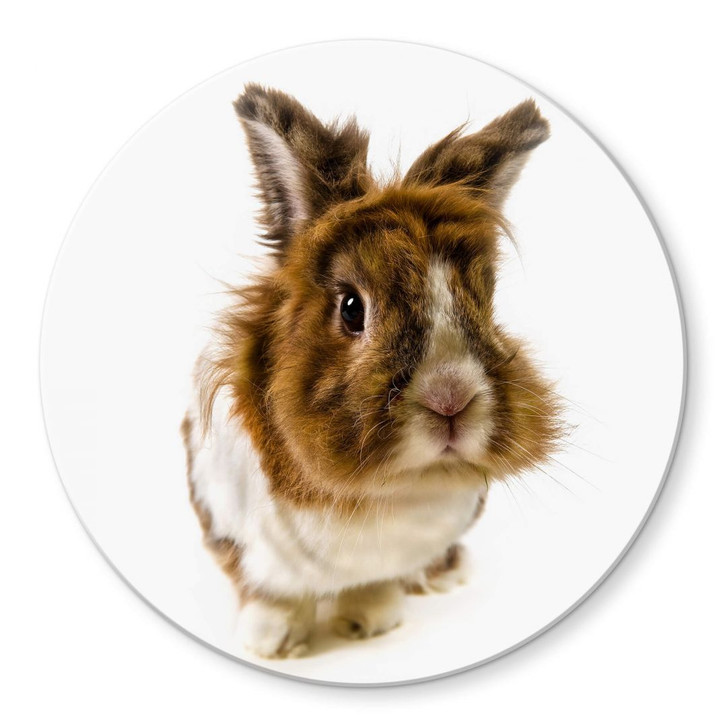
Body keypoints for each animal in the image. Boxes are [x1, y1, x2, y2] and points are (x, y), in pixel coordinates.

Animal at [181, 84, 563, 658]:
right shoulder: (233, 528)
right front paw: (272, 643)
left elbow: (375, 585)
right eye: (351, 308)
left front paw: (368, 622)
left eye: (485, 301)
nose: (451, 400)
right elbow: (269, 593)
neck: (382, 493)